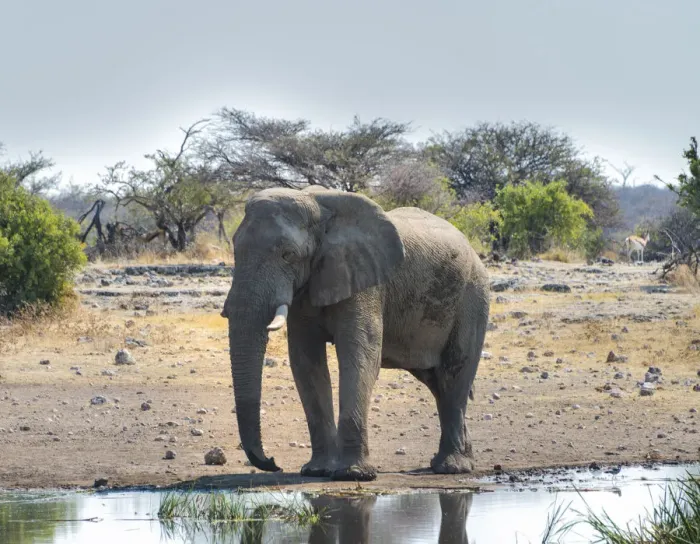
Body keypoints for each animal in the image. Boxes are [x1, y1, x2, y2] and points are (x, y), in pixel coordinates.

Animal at [221, 186, 490, 481]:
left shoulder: (365, 281)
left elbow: (360, 353)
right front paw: (317, 471)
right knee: (437, 382)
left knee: (455, 375)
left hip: (473, 298)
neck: (318, 208)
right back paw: (457, 461)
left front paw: (353, 474)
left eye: (288, 255)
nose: (272, 462)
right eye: (235, 252)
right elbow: (305, 362)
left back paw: (451, 467)